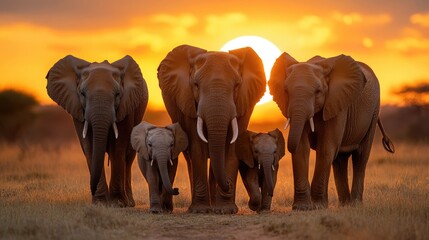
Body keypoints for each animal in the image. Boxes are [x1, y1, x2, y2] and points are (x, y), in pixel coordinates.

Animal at [44, 54, 146, 206]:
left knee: (128, 158)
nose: (91, 189)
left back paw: (129, 202)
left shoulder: (127, 106)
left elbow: (118, 147)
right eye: (82, 94)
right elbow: (89, 146)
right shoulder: (78, 109)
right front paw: (101, 203)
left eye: (117, 94)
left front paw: (117, 203)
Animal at [157, 44, 264, 213]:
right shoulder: (188, 101)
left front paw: (226, 210)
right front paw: (200, 210)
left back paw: (215, 206)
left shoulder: (244, 103)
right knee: (190, 158)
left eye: (237, 86)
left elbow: (232, 147)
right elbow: (197, 147)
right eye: (196, 85)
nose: (228, 186)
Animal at [268, 52, 394, 210]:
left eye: (318, 92)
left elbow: (326, 149)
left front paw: (318, 207)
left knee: (360, 157)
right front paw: (302, 208)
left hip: (374, 112)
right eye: (286, 91)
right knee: (340, 159)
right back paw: (344, 204)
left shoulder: (337, 103)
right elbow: (302, 149)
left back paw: (355, 204)